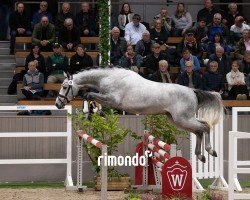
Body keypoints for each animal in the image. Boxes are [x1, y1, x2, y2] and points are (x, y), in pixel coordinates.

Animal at [55, 67, 224, 162]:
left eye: (64, 86)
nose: (58, 104)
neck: (109, 78)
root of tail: (192, 91)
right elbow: (90, 96)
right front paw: (93, 112)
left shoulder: (112, 100)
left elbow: (89, 95)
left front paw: (90, 112)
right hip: (178, 120)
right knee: (199, 130)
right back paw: (200, 156)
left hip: (183, 119)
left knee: (205, 127)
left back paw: (210, 151)